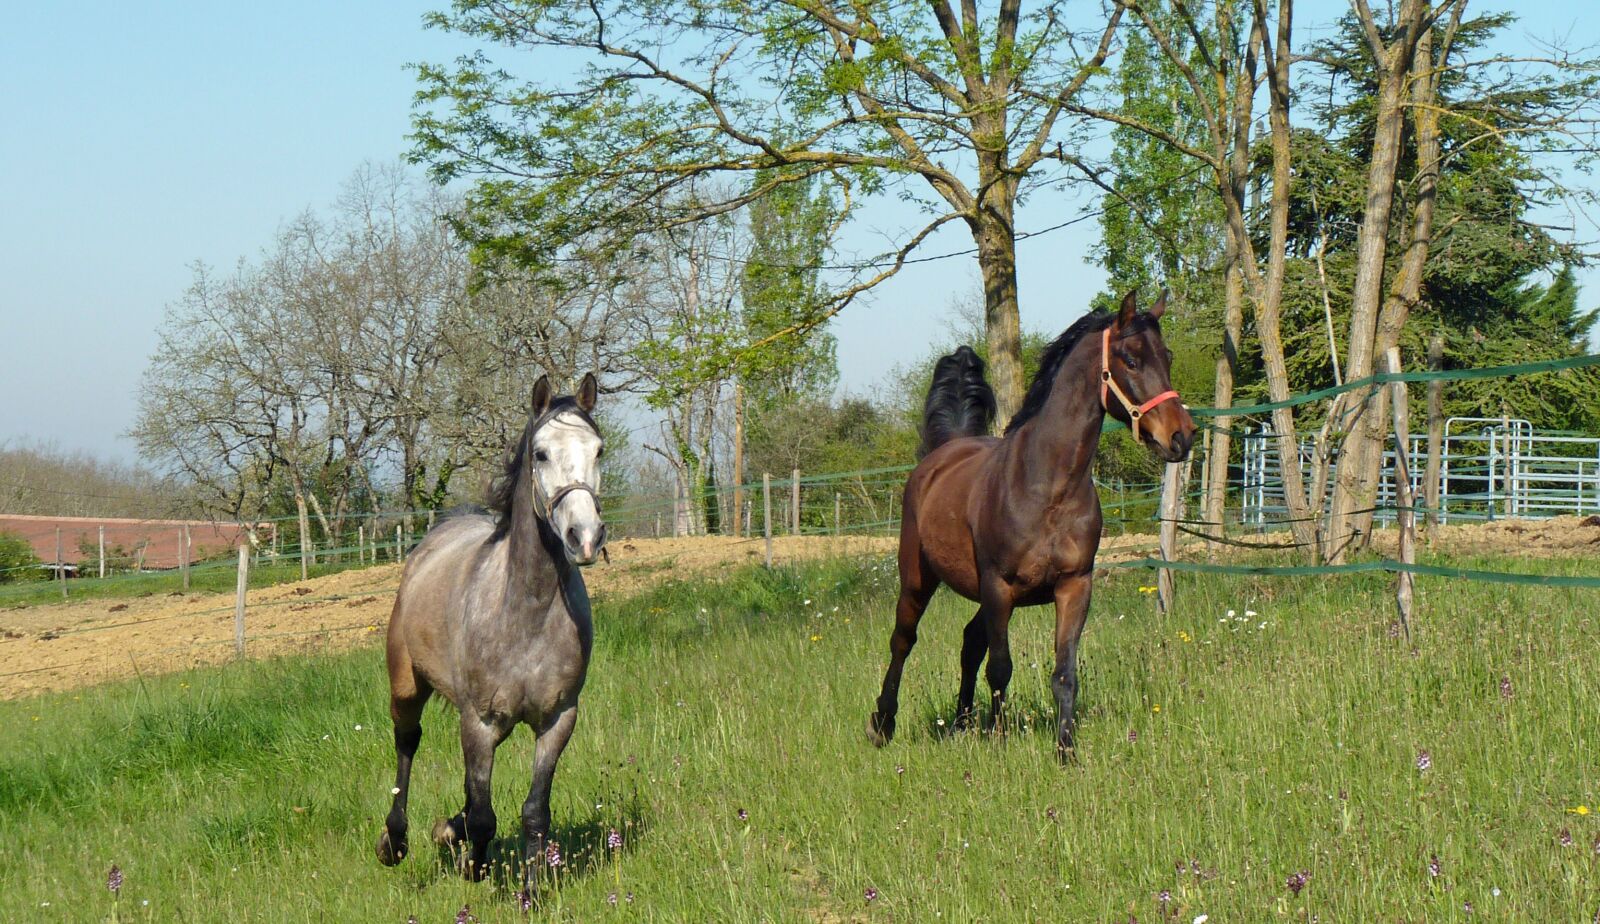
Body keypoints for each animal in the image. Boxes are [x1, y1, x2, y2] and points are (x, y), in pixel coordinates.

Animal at [374, 372, 604, 876]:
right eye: (541, 453)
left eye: (599, 450)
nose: (585, 536)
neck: (525, 614)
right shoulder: (478, 720)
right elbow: (483, 816)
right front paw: (471, 864)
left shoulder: (558, 719)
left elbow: (534, 812)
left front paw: (529, 886)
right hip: (407, 685)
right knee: (407, 743)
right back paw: (394, 841)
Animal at [870, 290, 1196, 757]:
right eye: (1131, 359)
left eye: (1166, 356)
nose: (1182, 436)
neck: (1047, 490)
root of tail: (942, 453)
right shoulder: (998, 586)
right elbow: (1001, 668)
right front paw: (999, 738)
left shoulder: (1074, 586)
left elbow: (1064, 673)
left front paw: (1065, 751)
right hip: (919, 580)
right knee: (903, 640)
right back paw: (882, 725)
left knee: (970, 642)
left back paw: (961, 724)